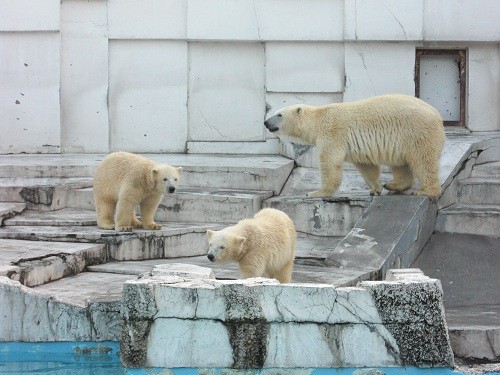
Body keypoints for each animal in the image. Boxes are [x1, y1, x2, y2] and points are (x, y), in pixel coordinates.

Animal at [266, 94, 446, 200]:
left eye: (279, 114)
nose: (266, 122)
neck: (319, 119)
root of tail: (437, 115)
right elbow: (366, 166)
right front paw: (376, 188)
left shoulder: (332, 134)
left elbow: (330, 163)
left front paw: (315, 192)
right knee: (401, 164)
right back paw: (393, 185)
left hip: (416, 132)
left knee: (423, 161)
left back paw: (426, 190)